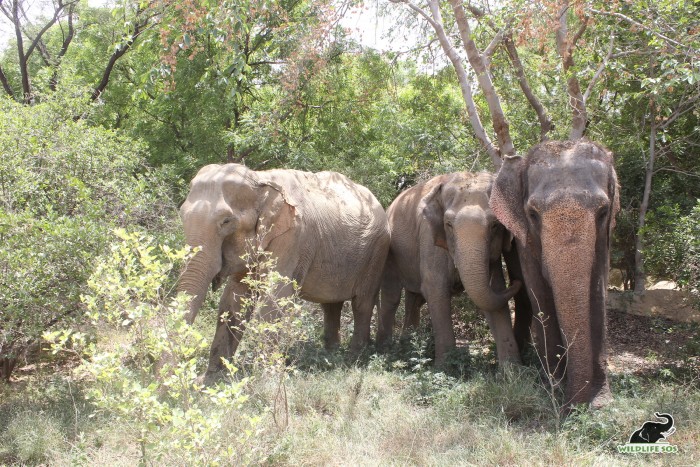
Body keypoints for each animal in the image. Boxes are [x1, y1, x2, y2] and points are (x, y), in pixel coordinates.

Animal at [178, 163, 392, 382]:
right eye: (181, 215)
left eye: (226, 221)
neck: (259, 179)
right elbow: (234, 297)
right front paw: (213, 379)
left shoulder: (293, 237)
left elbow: (276, 297)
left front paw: (264, 379)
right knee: (331, 305)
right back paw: (332, 356)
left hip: (376, 252)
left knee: (362, 303)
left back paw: (353, 359)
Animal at [374, 171, 524, 366]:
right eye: (449, 225)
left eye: (495, 225)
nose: (517, 281)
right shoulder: (429, 239)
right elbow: (436, 290)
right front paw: (444, 367)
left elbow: (495, 292)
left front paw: (513, 369)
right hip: (390, 251)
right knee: (392, 297)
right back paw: (385, 351)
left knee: (414, 299)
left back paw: (408, 347)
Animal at [490, 139, 620, 410]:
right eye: (532, 214)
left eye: (603, 212)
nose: (574, 406)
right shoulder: (525, 242)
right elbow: (540, 295)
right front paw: (553, 387)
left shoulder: (604, 242)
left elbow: (598, 294)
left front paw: (601, 402)